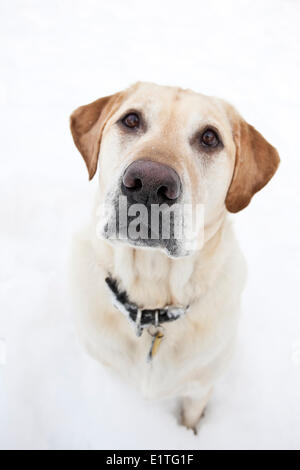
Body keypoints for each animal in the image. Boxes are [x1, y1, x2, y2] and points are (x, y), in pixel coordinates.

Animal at [68, 82, 278, 432]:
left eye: (209, 138)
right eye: (131, 120)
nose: (149, 183)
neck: (152, 293)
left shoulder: (199, 388)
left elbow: (191, 416)